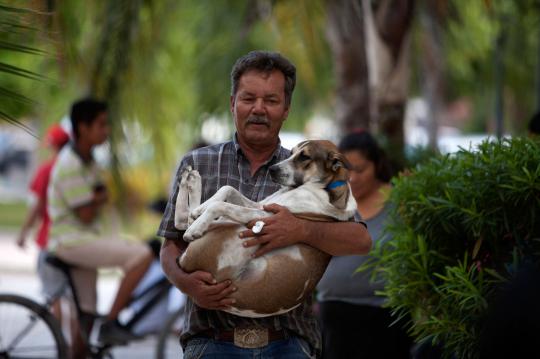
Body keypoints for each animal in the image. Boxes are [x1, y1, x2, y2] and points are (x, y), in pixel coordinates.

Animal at [175, 141, 356, 318]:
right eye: (291, 153)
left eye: (304, 157)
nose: (272, 169)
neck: (325, 189)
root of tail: (184, 262)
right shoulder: (262, 204)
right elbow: (227, 188)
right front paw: (201, 208)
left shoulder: (268, 216)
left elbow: (219, 205)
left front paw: (198, 223)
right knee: (182, 219)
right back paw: (189, 180)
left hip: (235, 232)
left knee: (185, 221)